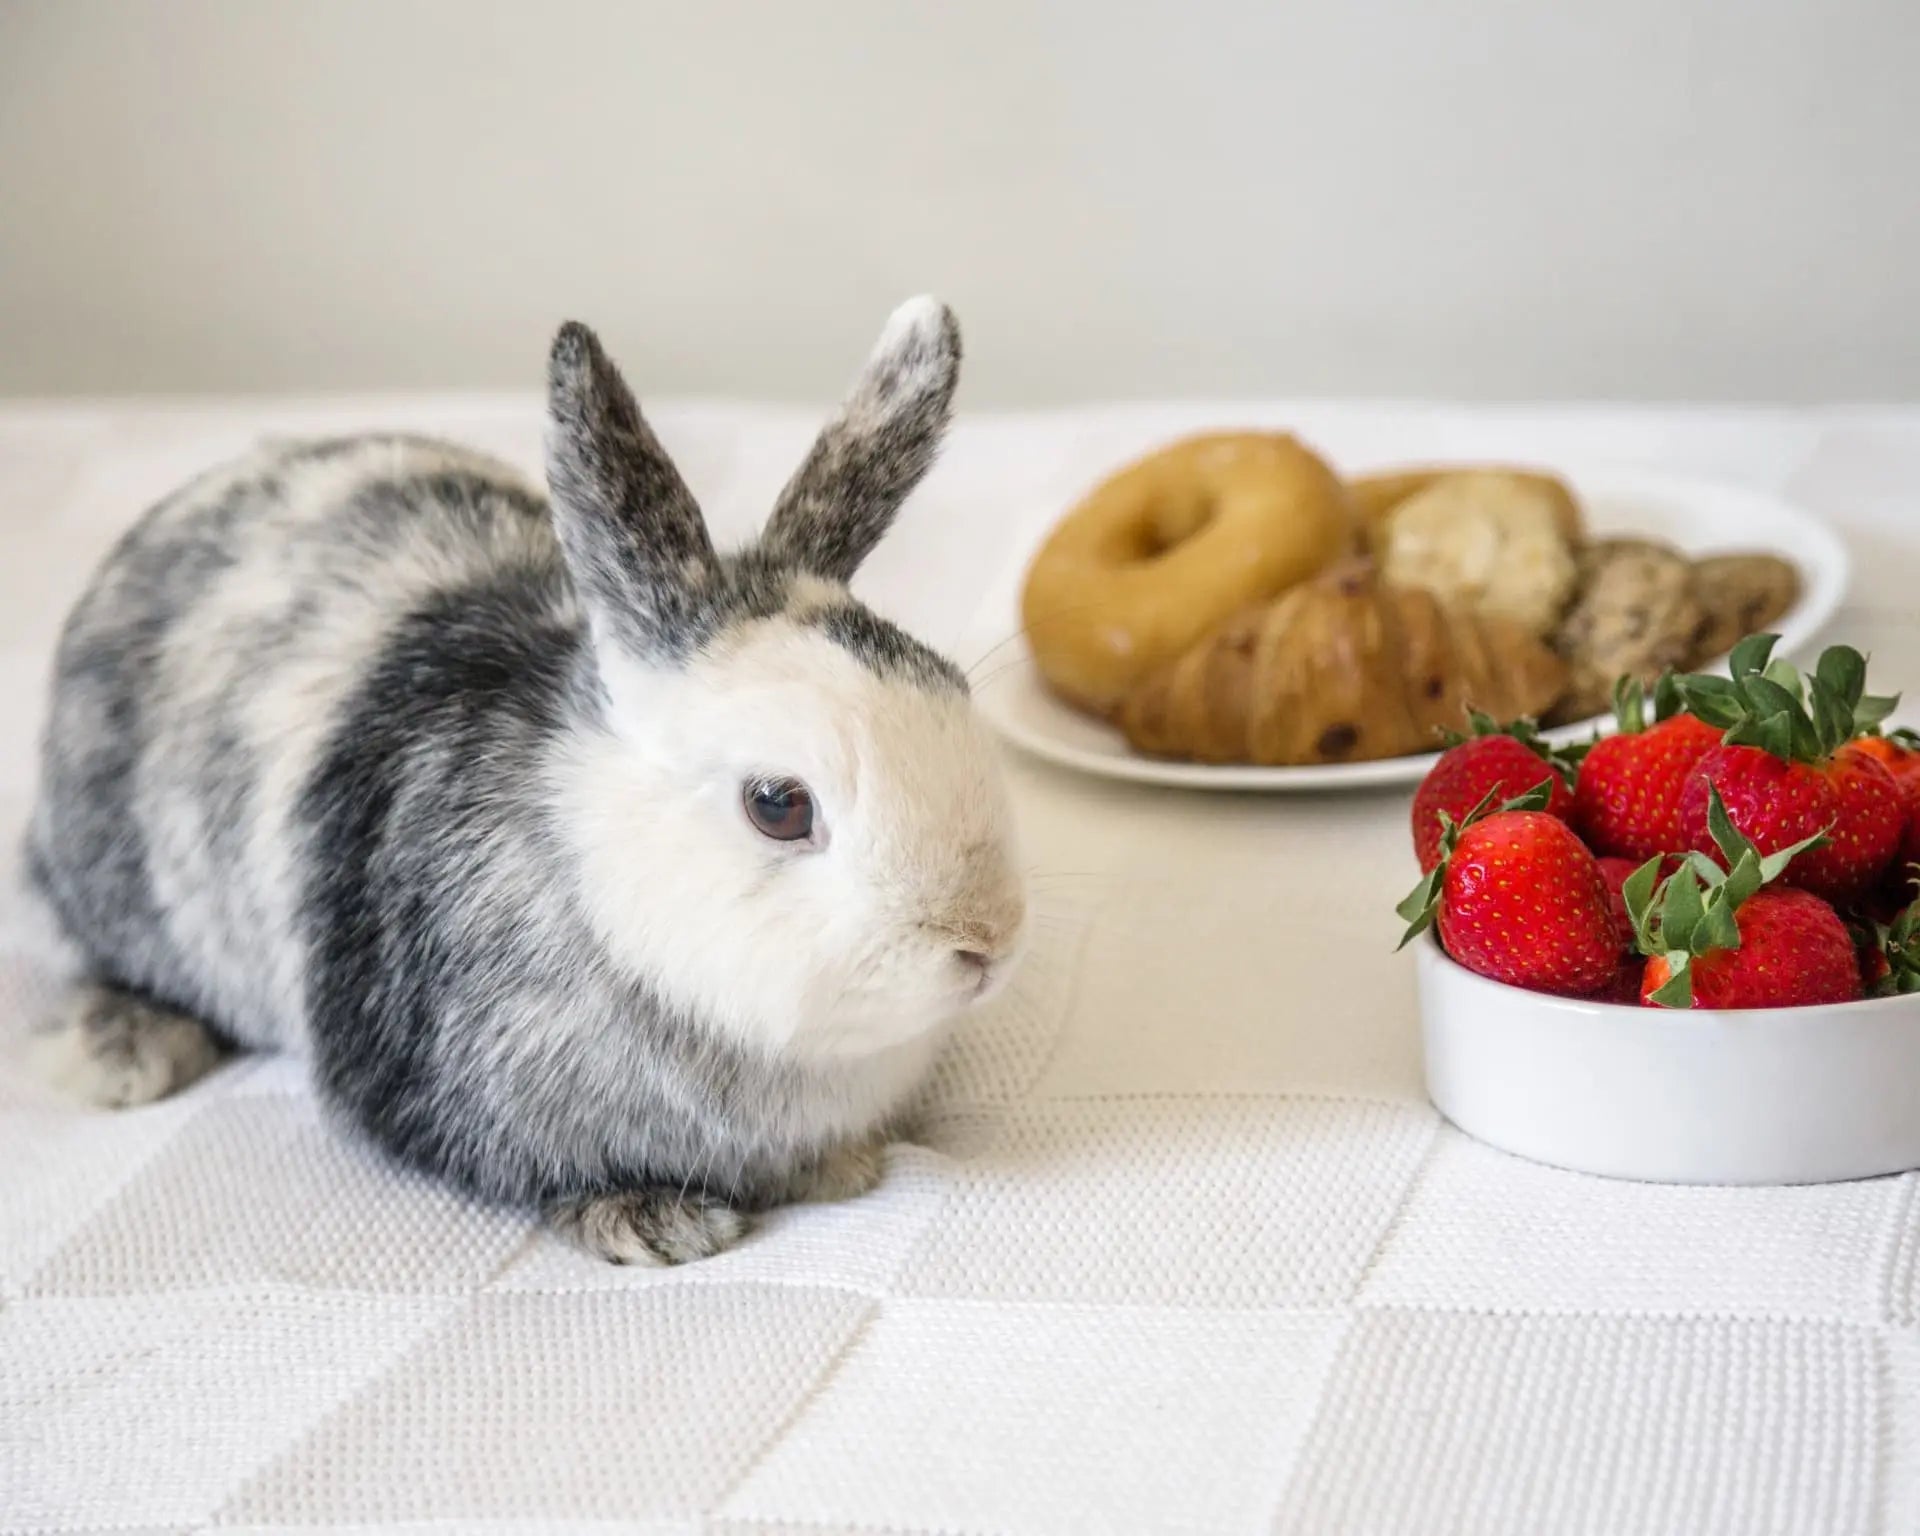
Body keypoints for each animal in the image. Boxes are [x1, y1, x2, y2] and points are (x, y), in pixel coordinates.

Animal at [22, 297, 1027, 1264]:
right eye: (778, 806)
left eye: (956, 689)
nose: (986, 943)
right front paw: (654, 1223)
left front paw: (841, 1166)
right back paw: (126, 1055)